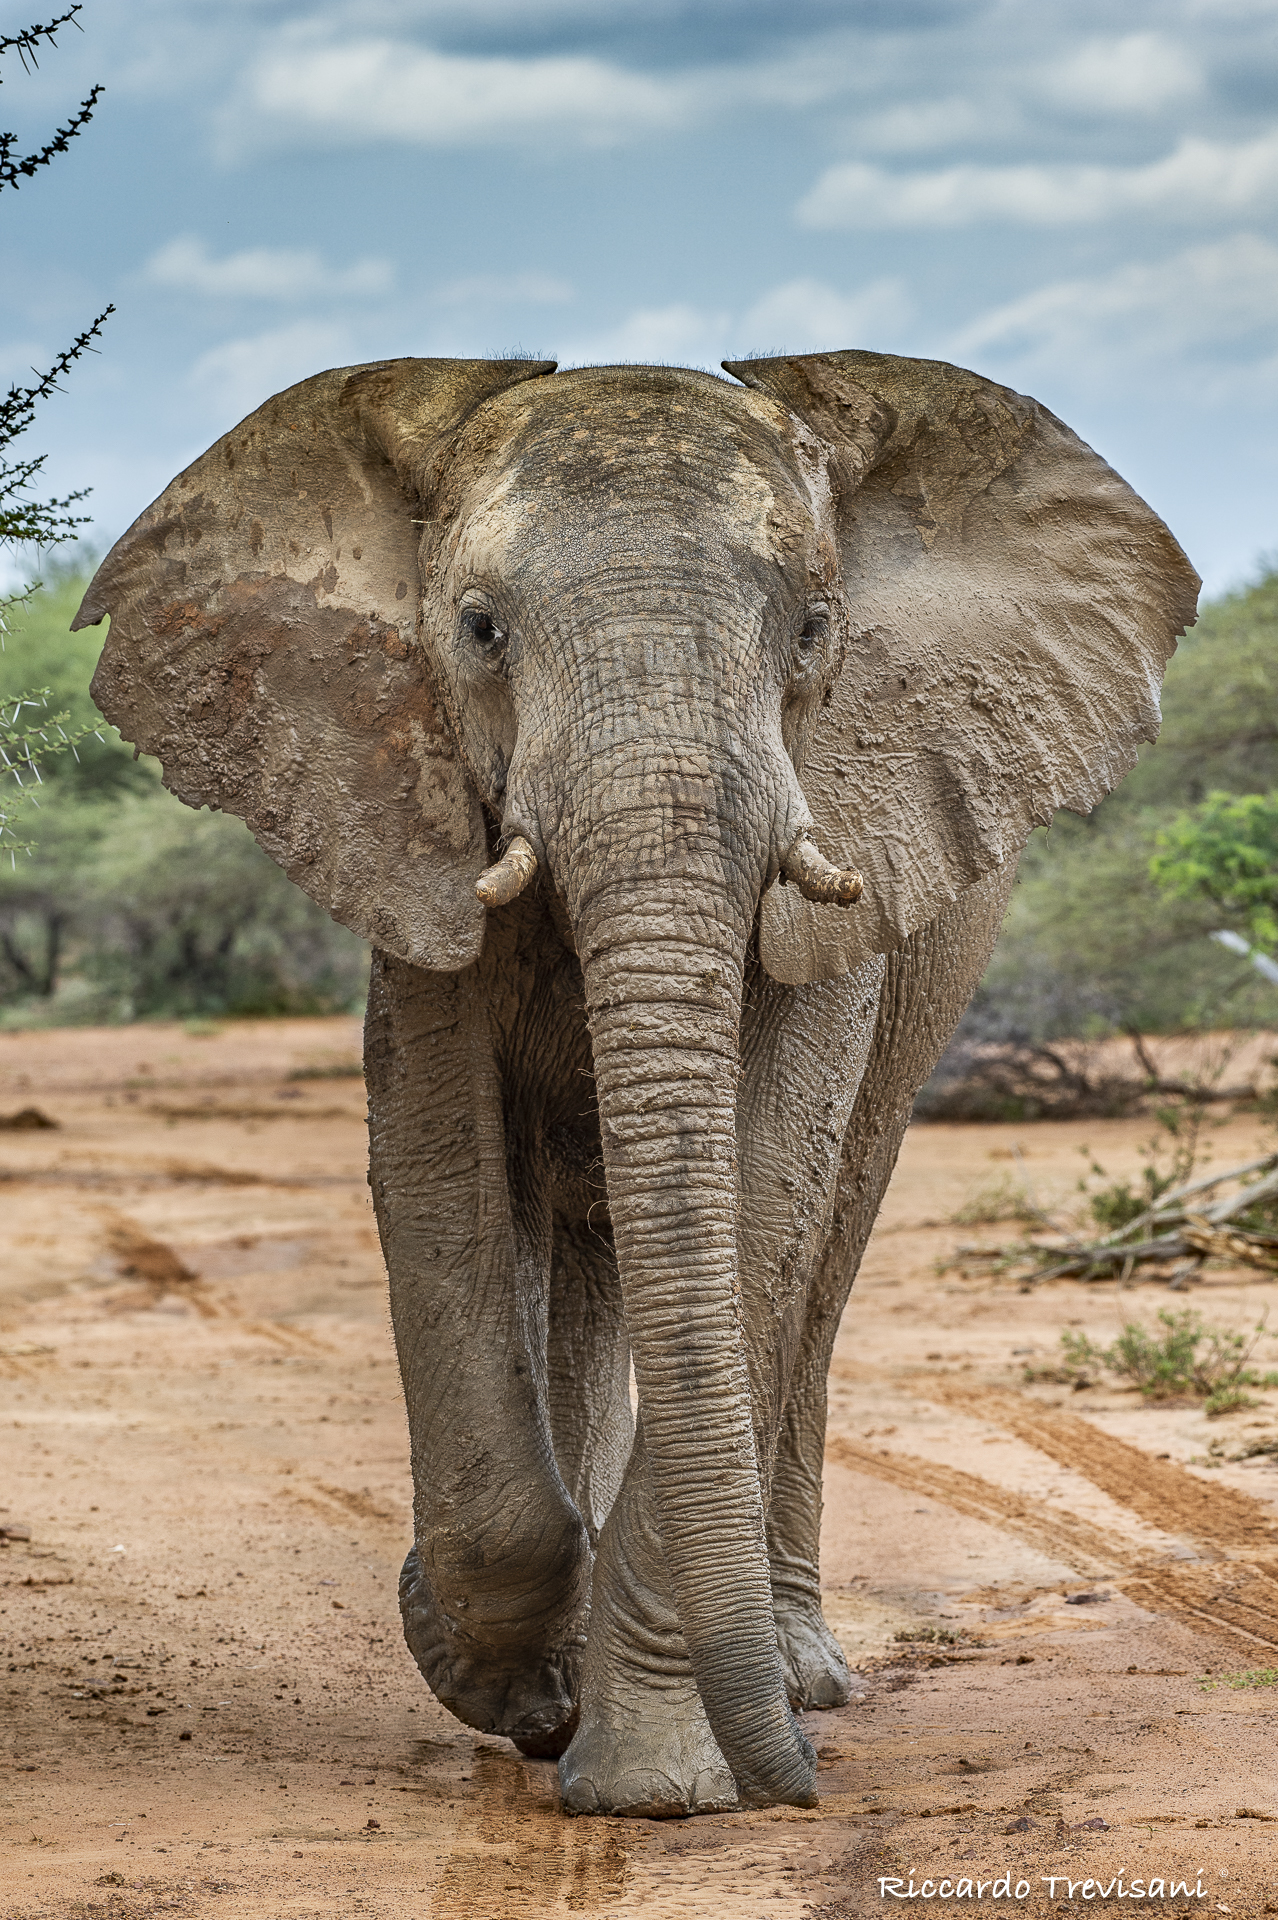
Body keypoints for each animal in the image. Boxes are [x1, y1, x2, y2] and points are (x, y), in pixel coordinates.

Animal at [74, 349, 1198, 1819]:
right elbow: (437, 1166)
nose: (805, 1788)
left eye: (813, 631)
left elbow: (766, 1187)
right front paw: (496, 1678)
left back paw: (796, 1677)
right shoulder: (405, 820)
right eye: (479, 630)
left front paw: (653, 1792)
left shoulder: (850, 843)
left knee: (821, 1252)